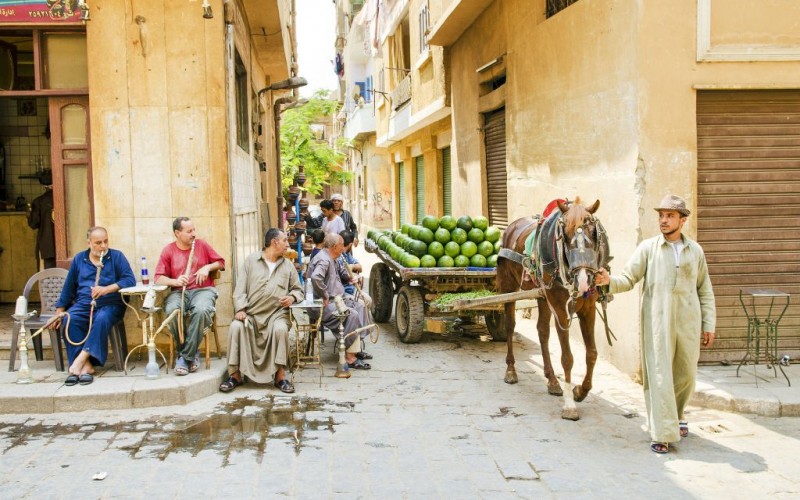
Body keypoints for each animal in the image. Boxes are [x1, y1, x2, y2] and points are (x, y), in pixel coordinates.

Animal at [494, 197, 612, 420]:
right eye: (564, 235)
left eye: (594, 232)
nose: (583, 280)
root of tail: (511, 227)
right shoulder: (560, 309)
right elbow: (567, 358)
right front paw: (570, 405)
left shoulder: (588, 308)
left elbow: (592, 353)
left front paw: (580, 391)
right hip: (508, 287)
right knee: (510, 326)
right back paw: (511, 370)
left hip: (542, 295)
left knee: (542, 331)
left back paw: (552, 380)